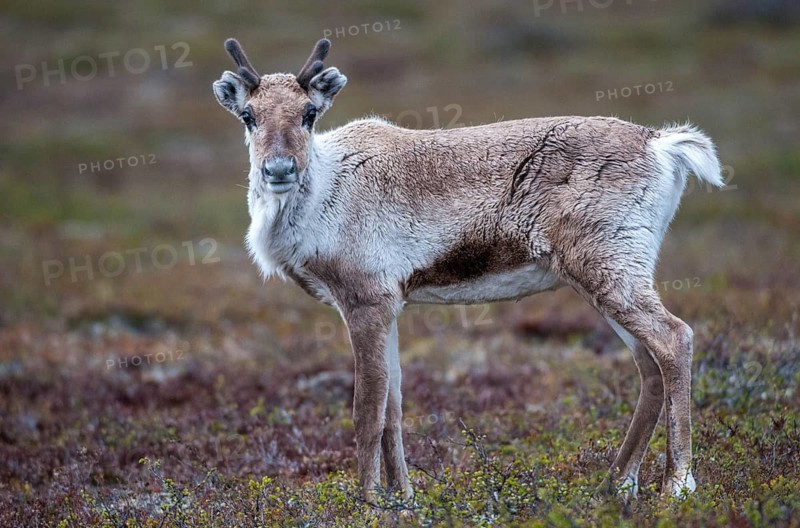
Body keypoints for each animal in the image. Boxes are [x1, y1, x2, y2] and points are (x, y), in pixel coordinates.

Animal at [212, 37, 722, 502]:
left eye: (309, 113)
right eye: (249, 116)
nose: (279, 170)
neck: (325, 189)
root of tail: (662, 144)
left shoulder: (365, 301)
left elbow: (367, 410)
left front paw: (368, 501)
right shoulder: (390, 306)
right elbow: (394, 407)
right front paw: (404, 499)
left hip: (610, 267)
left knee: (675, 338)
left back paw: (677, 485)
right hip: (604, 277)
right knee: (648, 365)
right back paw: (616, 484)